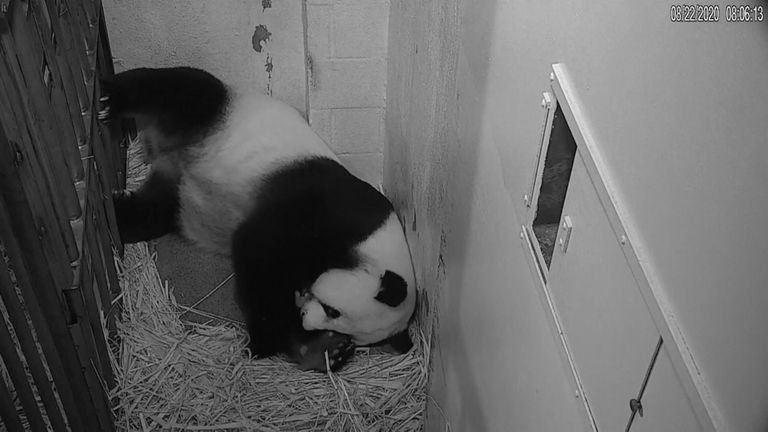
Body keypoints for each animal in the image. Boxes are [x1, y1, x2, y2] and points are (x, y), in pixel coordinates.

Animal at [102, 67, 416, 372]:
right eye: (332, 310)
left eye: (340, 325)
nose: (307, 321)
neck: (374, 244)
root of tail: (165, 154)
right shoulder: (331, 214)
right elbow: (258, 253)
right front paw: (267, 339)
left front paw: (325, 350)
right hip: (218, 113)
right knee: (180, 90)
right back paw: (110, 99)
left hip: (173, 198)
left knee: (146, 213)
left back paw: (118, 212)